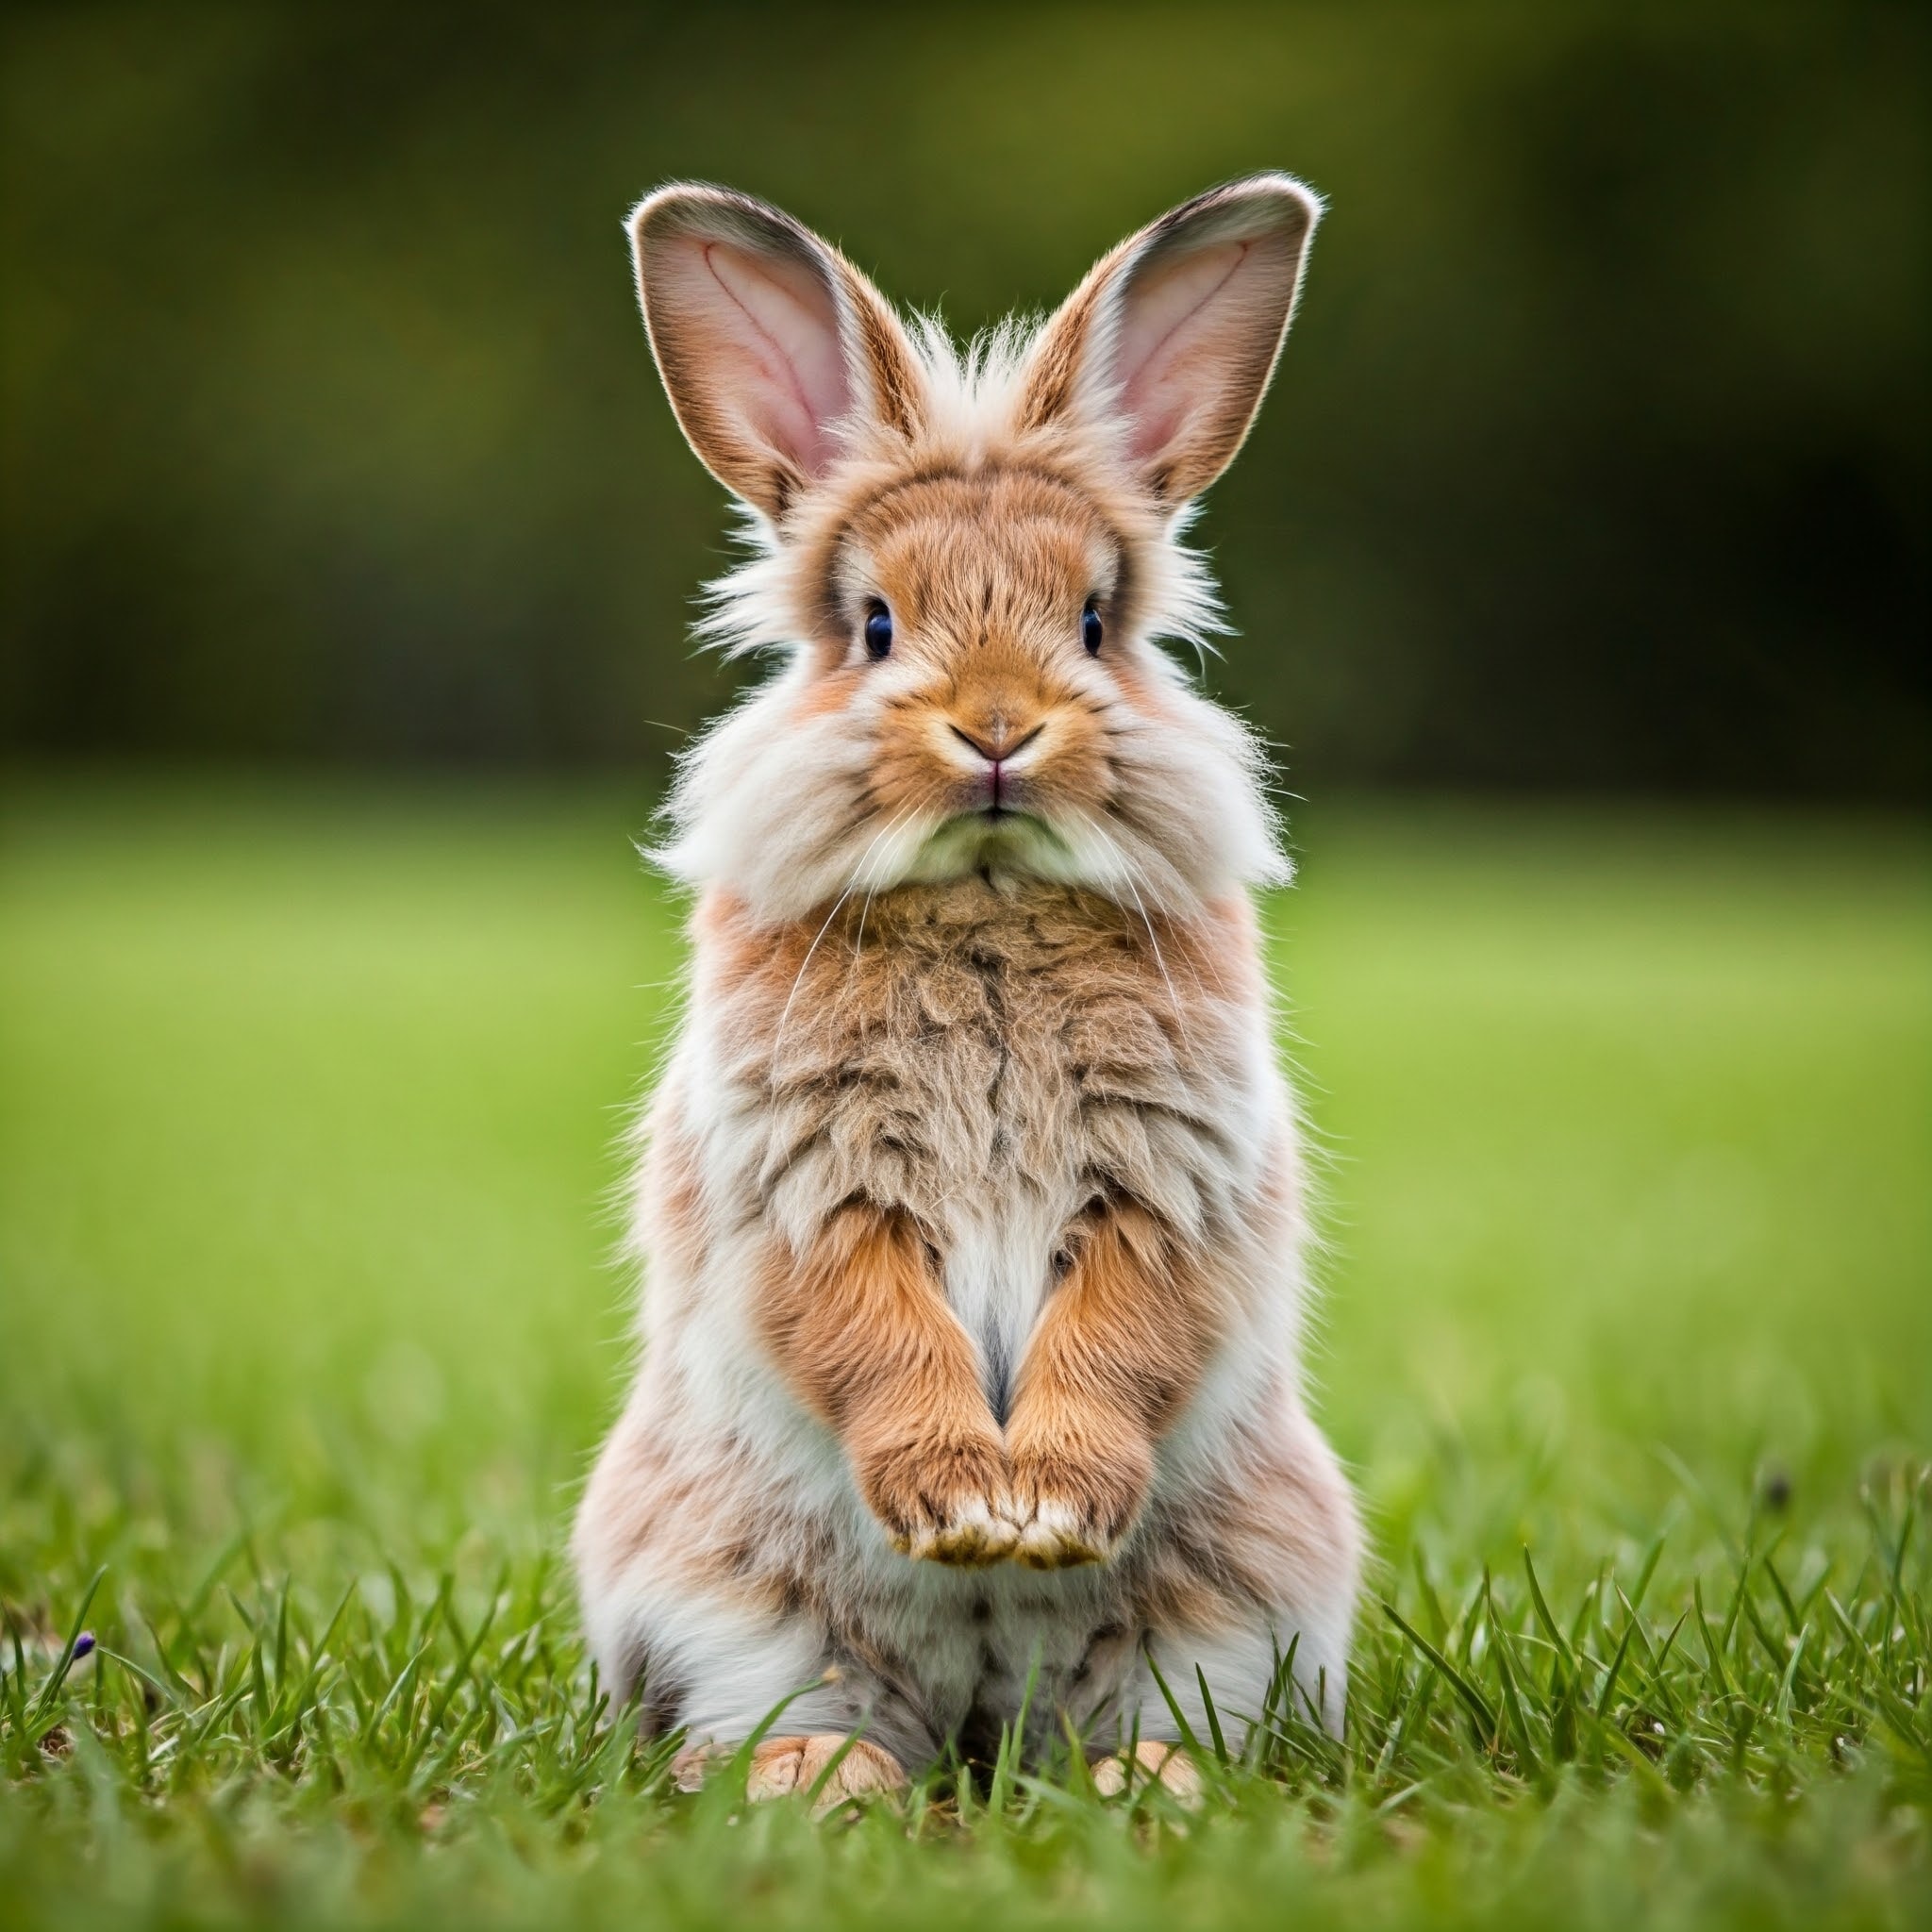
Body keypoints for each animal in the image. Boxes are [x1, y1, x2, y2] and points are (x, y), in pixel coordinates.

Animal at [572, 174, 1359, 1800]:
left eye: (1096, 623)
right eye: (876, 625)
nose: (998, 729)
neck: (987, 902)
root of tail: (984, 1714)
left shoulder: (1166, 1179)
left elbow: (1125, 1333)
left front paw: (1038, 1514)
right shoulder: (809, 1185)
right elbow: (869, 1332)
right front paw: (968, 1510)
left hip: (1231, 1617)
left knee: (1156, 1733)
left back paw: (1143, 1797)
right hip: (739, 1617)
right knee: (787, 1734)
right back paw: (831, 1799)